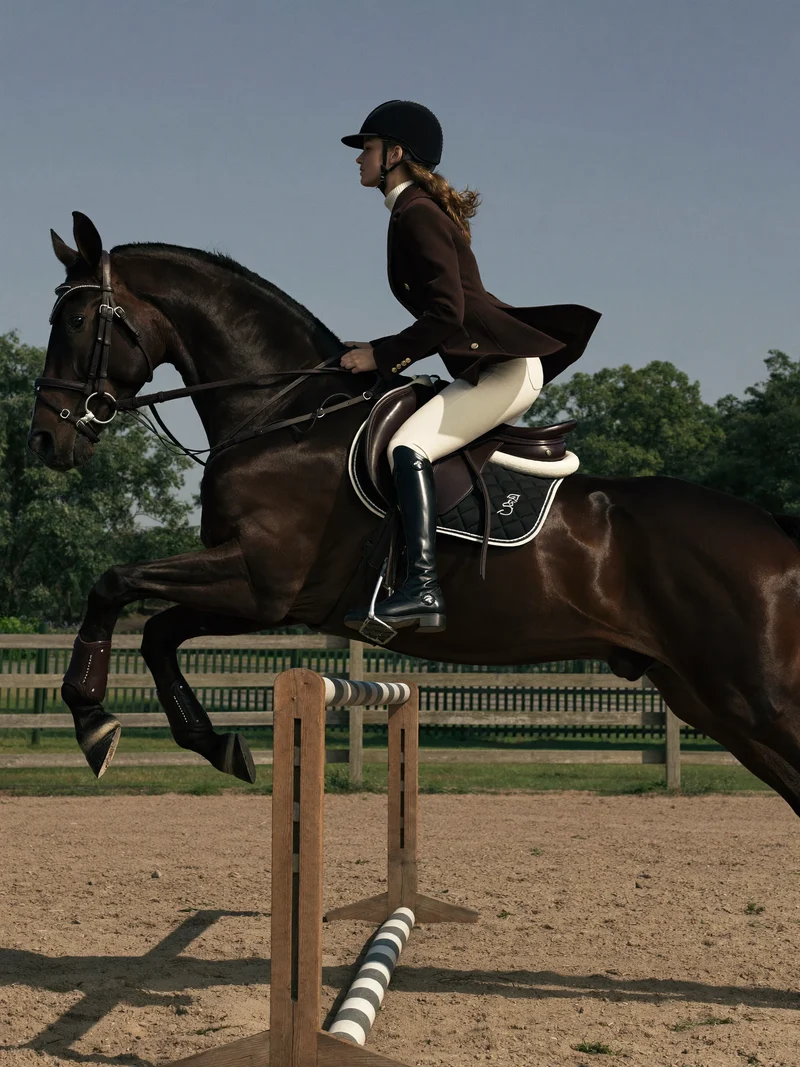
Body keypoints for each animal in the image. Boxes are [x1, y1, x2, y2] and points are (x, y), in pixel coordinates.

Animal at [28, 212, 800, 813]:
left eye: (75, 320)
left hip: (753, 695)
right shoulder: (265, 596)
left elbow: (115, 585)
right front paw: (213, 743)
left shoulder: (260, 582)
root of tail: (774, 534)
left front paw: (93, 721)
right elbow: (157, 631)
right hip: (705, 696)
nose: (46, 439)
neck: (282, 414)